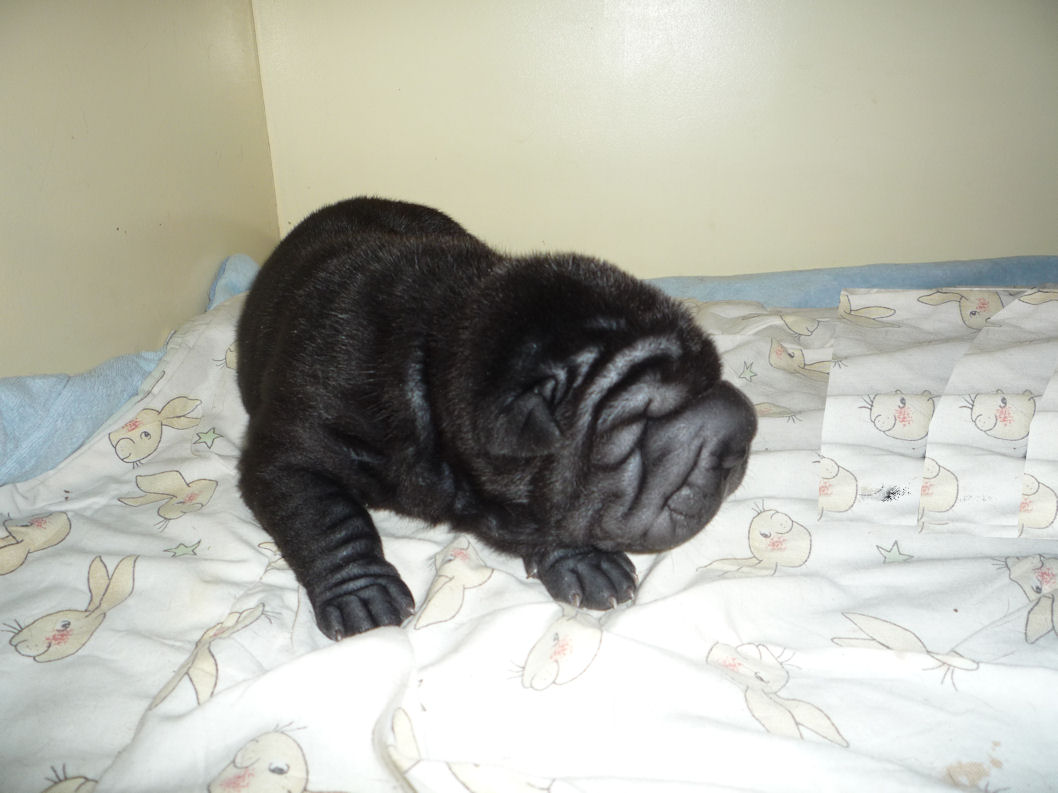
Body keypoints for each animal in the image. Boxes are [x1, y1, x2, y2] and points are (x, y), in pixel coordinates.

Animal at [236, 197, 756, 639]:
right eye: (640, 419)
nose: (746, 429)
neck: (429, 357)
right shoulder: (295, 448)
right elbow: (329, 520)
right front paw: (362, 596)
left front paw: (585, 561)